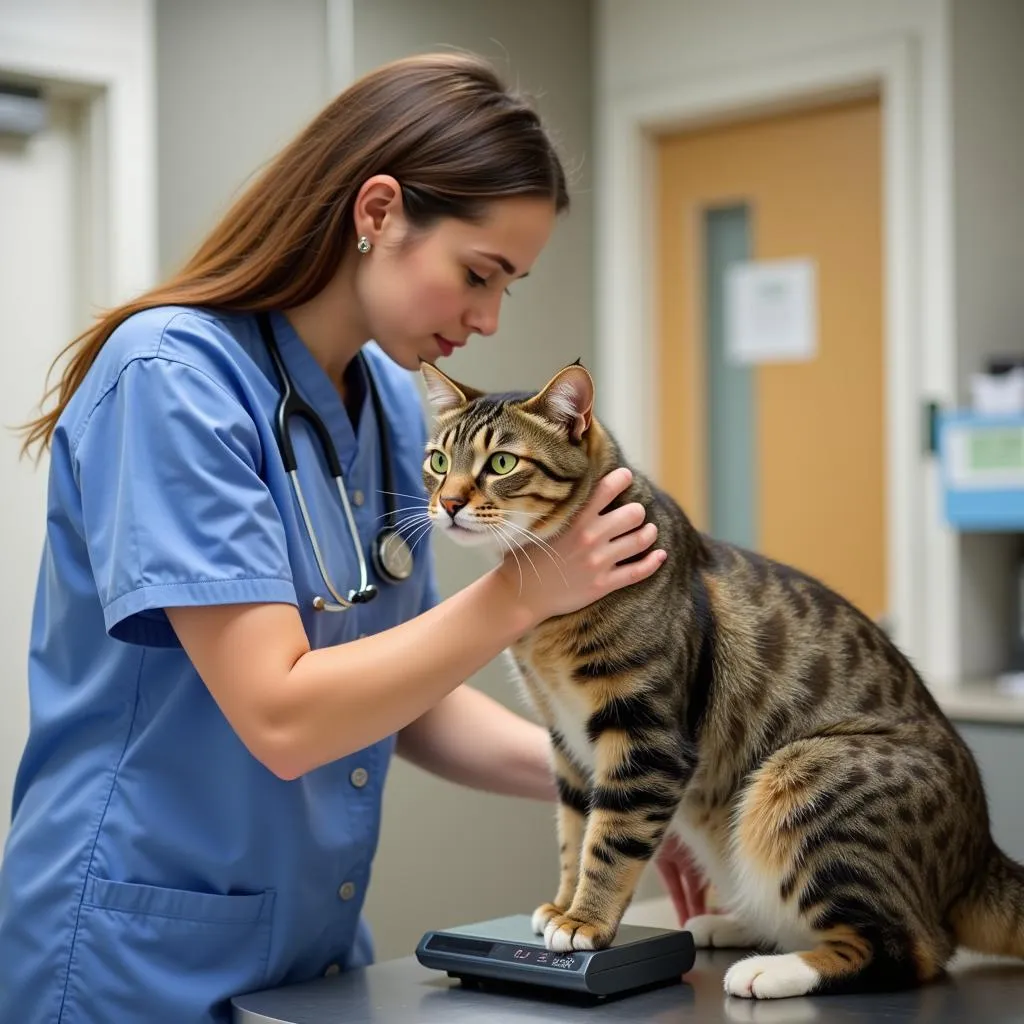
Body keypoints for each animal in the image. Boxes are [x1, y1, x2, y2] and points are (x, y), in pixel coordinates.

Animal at [417, 360, 1024, 999]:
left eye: (502, 463)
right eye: (439, 459)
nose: (448, 503)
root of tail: (980, 853)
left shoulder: (645, 735)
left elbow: (609, 838)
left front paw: (584, 921)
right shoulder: (565, 739)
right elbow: (574, 831)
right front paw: (563, 903)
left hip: (806, 777)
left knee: (912, 947)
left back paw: (771, 969)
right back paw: (729, 925)